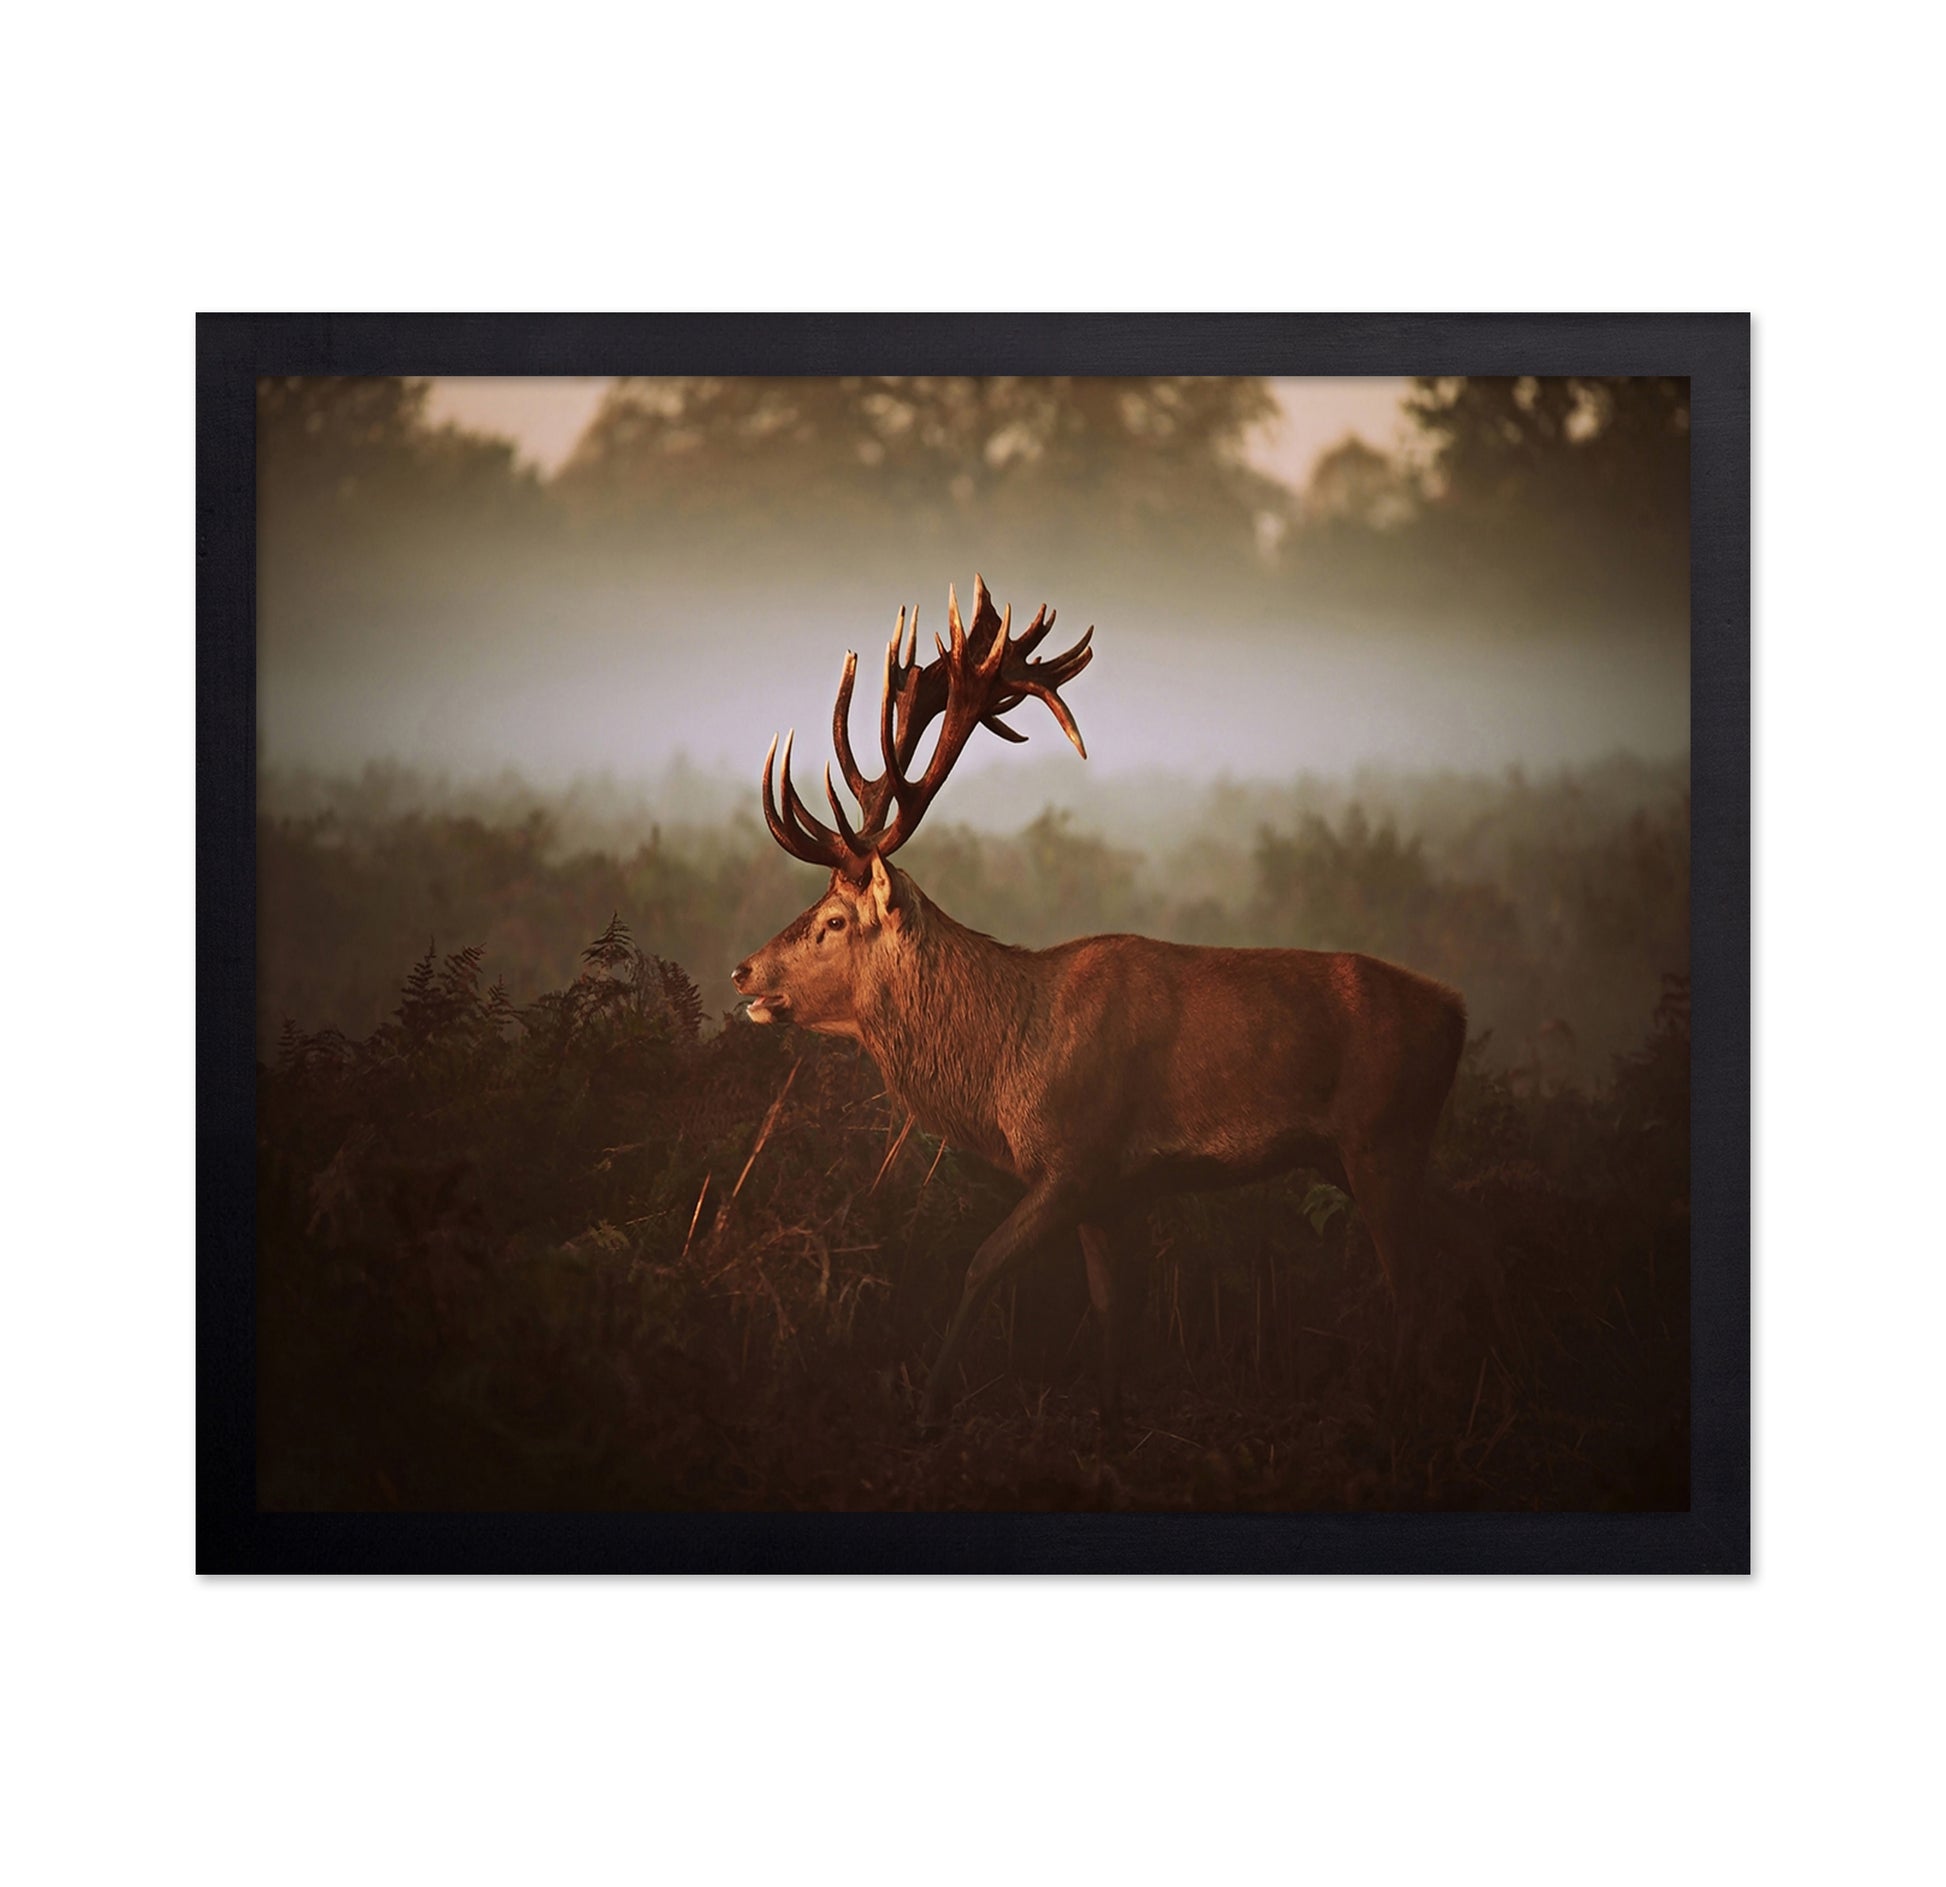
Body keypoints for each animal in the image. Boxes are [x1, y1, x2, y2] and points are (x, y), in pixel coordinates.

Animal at [732, 576, 1468, 1439]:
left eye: (834, 920)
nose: (743, 971)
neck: (1006, 1065)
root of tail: (1456, 1012)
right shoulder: (1112, 1192)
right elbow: (1115, 1310)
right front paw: (1114, 1419)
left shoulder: (1075, 1159)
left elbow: (980, 1264)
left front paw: (931, 1406)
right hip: (1369, 1153)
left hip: (1383, 1137)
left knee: (1415, 1289)